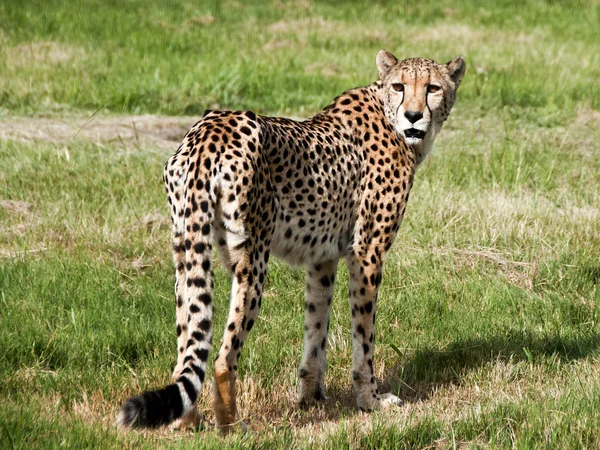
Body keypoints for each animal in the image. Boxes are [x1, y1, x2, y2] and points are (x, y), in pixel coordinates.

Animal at [117, 50, 464, 432]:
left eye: (432, 88)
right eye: (400, 86)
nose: (414, 116)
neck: (391, 119)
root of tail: (211, 129)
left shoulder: (323, 258)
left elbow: (316, 327)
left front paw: (310, 398)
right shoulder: (366, 252)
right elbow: (364, 336)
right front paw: (370, 400)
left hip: (187, 249)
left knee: (188, 346)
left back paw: (187, 424)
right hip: (252, 259)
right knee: (222, 357)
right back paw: (232, 429)